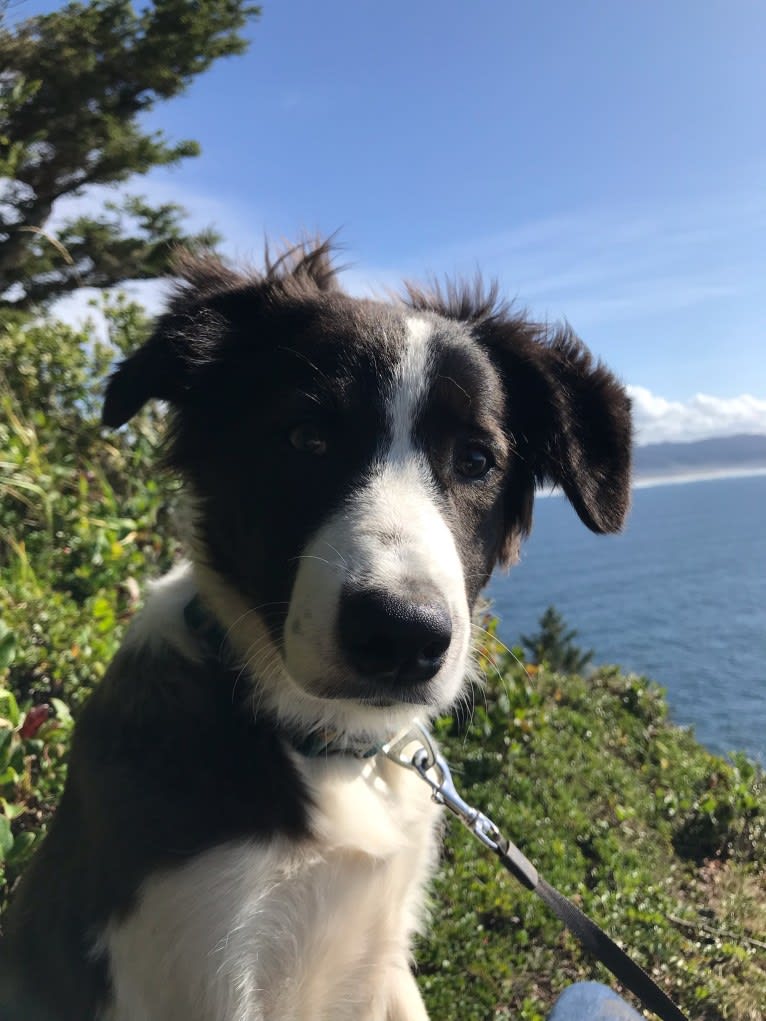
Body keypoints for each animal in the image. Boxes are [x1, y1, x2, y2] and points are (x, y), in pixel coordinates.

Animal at [1, 240, 629, 1021]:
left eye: (476, 460)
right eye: (307, 439)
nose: (401, 638)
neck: (327, 744)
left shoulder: (386, 954)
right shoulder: (203, 965)